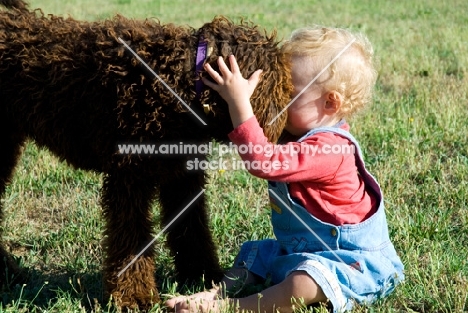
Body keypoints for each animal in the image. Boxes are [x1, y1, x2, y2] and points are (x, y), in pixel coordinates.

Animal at [0, 0, 292, 308]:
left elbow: (192, 228)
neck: (180, 83)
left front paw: (202, 275)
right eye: (282, 88)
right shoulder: (130, 179)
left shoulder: (182, 176)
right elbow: (132, 239)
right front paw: (134, 295)